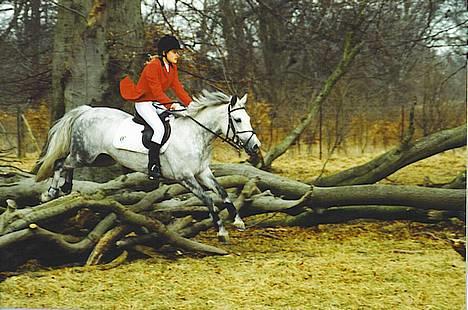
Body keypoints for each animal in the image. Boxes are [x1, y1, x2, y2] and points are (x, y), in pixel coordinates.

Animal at [34, 90, 262, 242]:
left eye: (248, 118)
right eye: (238, 119)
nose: (256, 146)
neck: (195, 134)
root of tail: (86, 112)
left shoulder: (202, 172)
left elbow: (222, 192)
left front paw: (238, 221)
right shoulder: (185, 177)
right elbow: (208, 199)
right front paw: (222, 231)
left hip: (100, 157)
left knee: (67, 165)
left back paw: (66, 188)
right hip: (85, 155)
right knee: (60, 163)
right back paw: (50, 193)